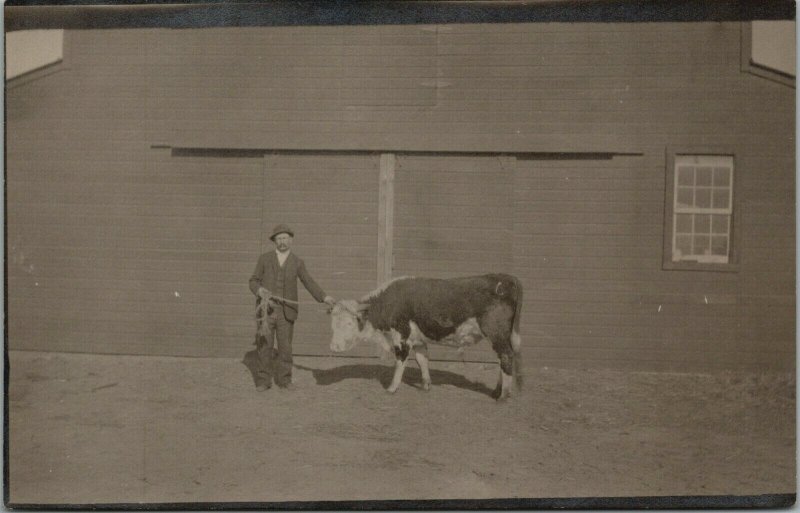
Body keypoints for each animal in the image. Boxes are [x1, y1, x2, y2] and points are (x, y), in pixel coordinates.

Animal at [328, 272, 520, 400]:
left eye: (349, 323)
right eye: (333, 324)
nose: (333, 347)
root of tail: (504, 278)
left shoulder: (402, 338)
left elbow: (400, 363)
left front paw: (392, 388)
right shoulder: (418, 340)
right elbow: (422, 360)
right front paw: (426, 385)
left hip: (496, 333)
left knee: (506, 356)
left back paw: (503, 395)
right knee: (503, 359)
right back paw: (497, 391)